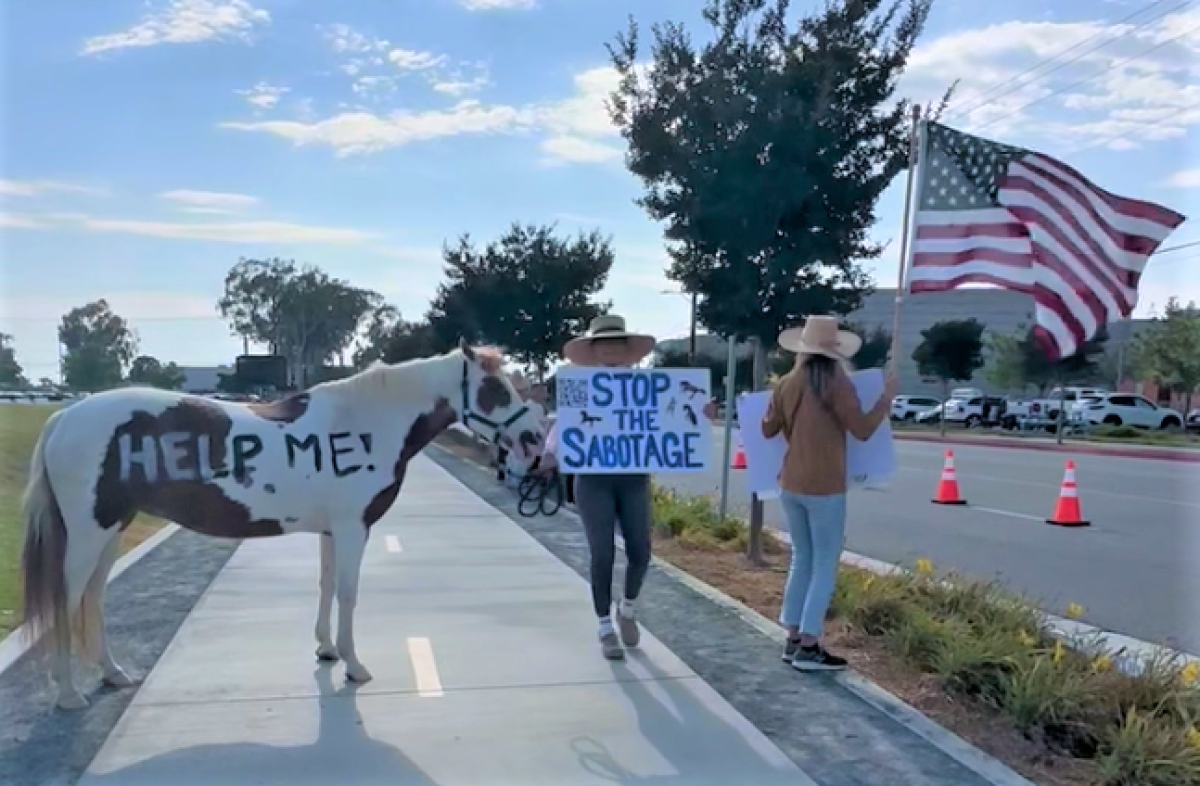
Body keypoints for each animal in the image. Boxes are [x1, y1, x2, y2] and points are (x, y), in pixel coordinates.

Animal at [17, 340, 544, 710]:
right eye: (495, 390)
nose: (534, 437)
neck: (367, 420)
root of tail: (64, 416)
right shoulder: (353, 529)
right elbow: (349, 593)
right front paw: (354, 665)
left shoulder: (332, 531)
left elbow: (326, 585)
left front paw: (327, 651)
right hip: (89, 534)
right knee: (68, 602)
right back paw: (68, 694)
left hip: (111, 530)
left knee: (93, 598)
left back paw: (112, 672)